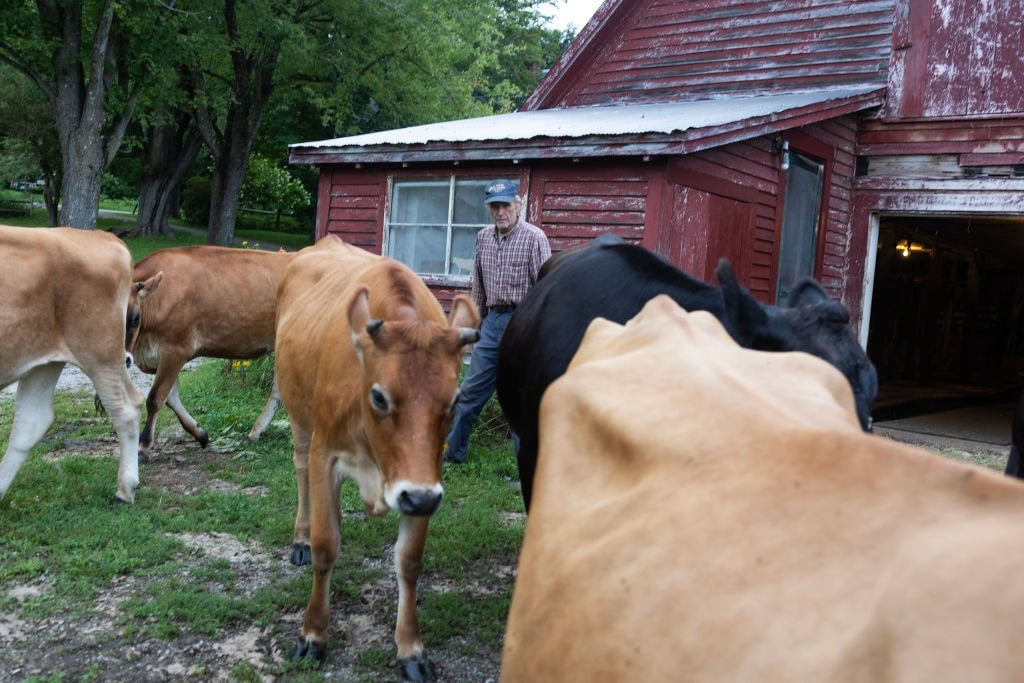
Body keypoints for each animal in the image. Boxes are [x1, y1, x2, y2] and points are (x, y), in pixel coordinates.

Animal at [0, 227, 152, 505]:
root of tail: (101, 235)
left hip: (100, 354)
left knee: (126, 407)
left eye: (136, 320)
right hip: (46, 359)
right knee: (31, 420)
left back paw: (125, 489)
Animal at [130, 245, 294, 458]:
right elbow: (171, 399)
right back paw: (258, 430)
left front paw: (142, 447)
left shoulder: (175, 349)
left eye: (135, 318)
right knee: (279, 389)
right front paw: (200, 434)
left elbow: (155, 398)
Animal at [274, 235, 477, 679]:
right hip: (298, 416)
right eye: (379, 396)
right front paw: (313, 635)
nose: (418, 498)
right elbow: (326, 547)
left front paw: (411, 649)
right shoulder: (326, 455)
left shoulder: (423, 479)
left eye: (455, 401)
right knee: (299, 472)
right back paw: (300, 538)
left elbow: (410, 561)